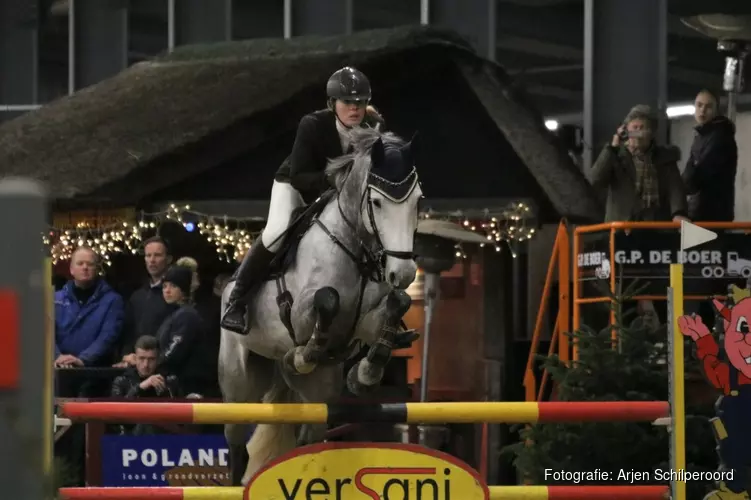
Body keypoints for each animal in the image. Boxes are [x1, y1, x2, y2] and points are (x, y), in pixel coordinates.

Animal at [220, 128, 426, 484]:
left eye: (417, 201)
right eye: (376, 202)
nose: (403, 273)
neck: (356, 251)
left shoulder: (366, 321)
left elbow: (396, 304)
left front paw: (365, 373)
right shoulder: (300, 314)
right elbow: (327, 299)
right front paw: (304, 354)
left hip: (319, 389)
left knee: (308, 439)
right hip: (239, 385)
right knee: (236, 444)